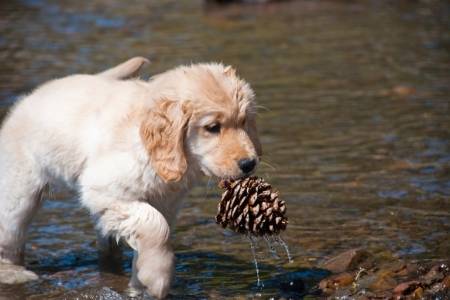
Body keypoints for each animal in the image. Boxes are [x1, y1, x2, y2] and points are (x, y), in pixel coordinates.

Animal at [0, 57, 260, 298]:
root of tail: (32, 96)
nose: (249, 163)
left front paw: (140, 284)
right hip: (19, 191)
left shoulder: (165, 203)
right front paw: (156, 278)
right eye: (212, 127)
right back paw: (13, 273)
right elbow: (156, 227)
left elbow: (155, 236)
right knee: (10, 234)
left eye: (243, 121)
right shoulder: (103, 190)